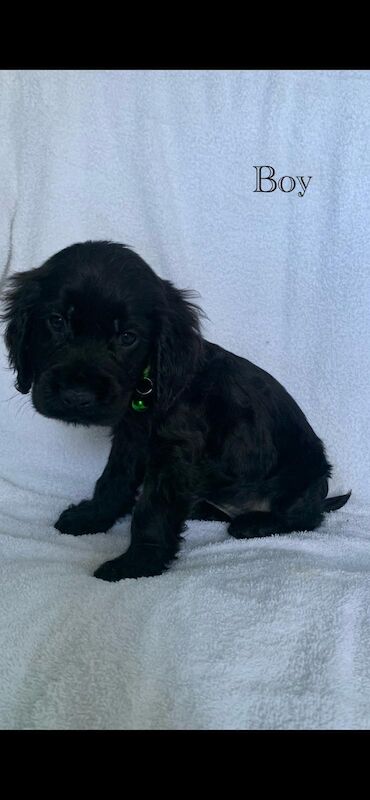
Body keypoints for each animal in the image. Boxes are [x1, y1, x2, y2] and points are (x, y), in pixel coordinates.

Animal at [1, 239, 352, 580]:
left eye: (127, 337)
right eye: (56, 321)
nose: (77, 397)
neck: (151, 385)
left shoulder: (175, 453)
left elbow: (153, 510)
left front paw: (137, 564)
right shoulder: (130, 438)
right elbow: (114, 479)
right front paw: (93, 517)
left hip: (303, 479)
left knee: (307, 517)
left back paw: (254, 523)